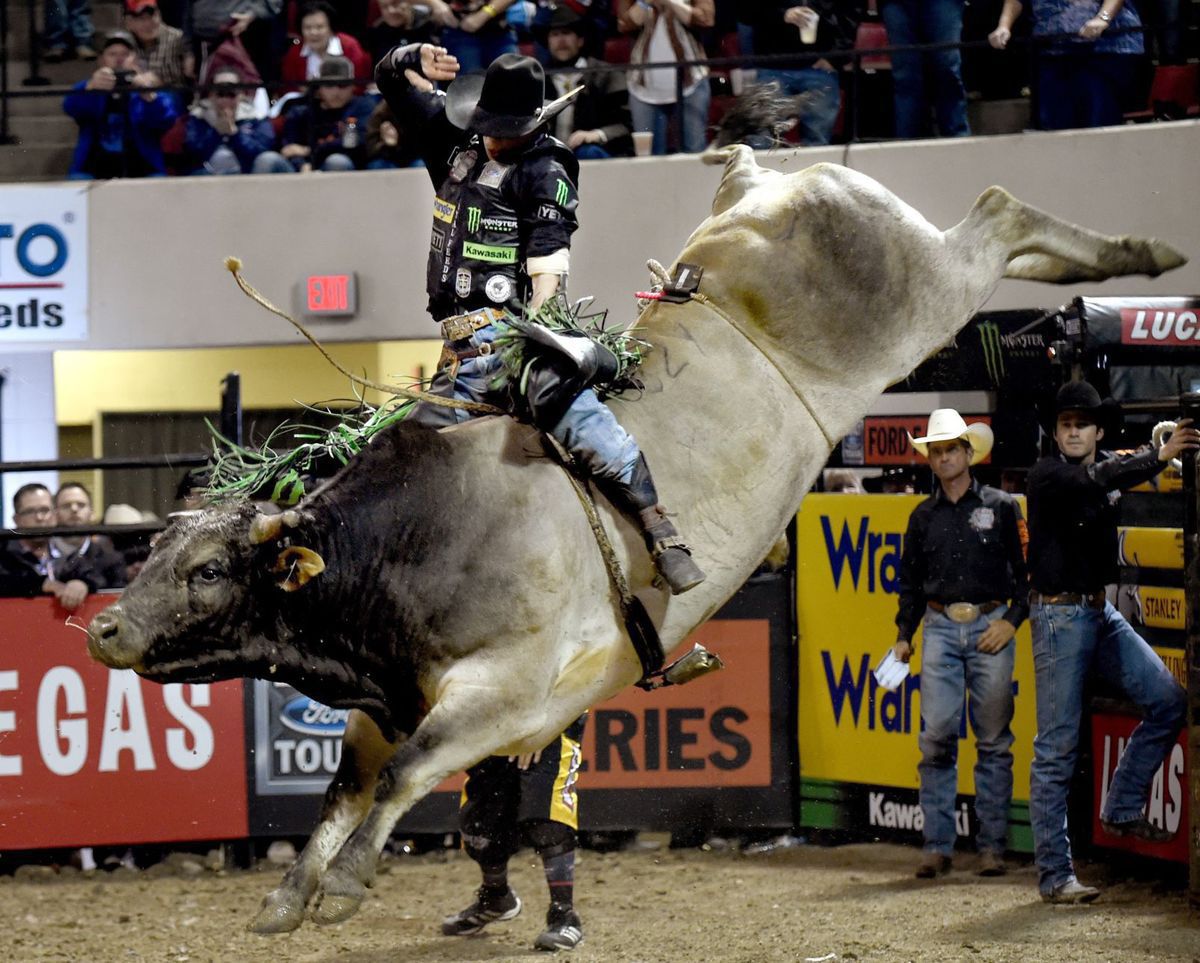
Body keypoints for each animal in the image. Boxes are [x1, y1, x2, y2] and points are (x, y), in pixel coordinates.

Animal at [82, 148, 1180, 931]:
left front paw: (345, 884)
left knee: (998, 210)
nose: (102, 629)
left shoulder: (510, 690)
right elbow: (352, 781)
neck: (411, 545)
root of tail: (762, 188)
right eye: (157, 554)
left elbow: (406, 774)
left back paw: (1141, 256)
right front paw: (286, 896)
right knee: (1003, 228)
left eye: (210, 568)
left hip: (920, 288)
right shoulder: (394, 695)